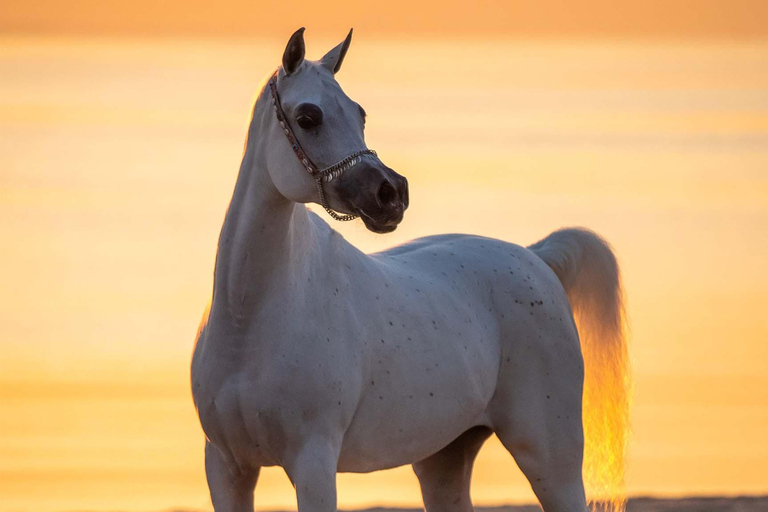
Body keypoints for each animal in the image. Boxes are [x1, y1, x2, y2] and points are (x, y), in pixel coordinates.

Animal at [192, 27, 632, 512]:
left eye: (360, 113)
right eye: (308, 117)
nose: (391, 193)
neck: (250, 319)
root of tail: (534, 255)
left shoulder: (313, 463)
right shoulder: (227, 467)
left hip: (550, 457)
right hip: (444, 458)